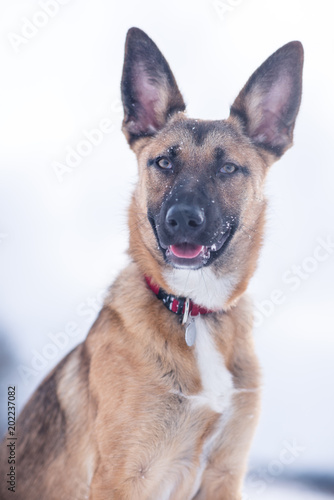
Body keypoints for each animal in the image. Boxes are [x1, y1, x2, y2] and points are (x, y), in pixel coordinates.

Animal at [0, 28, 302, 500]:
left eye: (228, 169)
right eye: (163, 162)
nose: (183, 220)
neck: (194, 309)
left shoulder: (224, 474)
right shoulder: (122, 478)